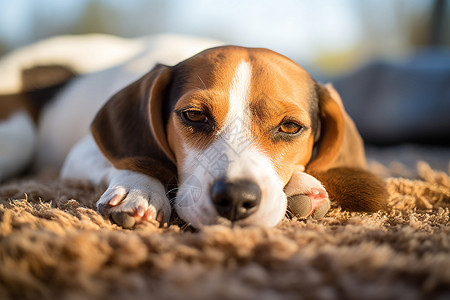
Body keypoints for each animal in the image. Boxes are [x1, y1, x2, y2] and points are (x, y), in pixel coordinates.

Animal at [0, 34, 386, 229]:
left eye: (290, 127)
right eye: (194, 115)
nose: (236, 199)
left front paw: (304, 186)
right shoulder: (81, 152)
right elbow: (136, 161)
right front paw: (140, 191)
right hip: (18, 137)